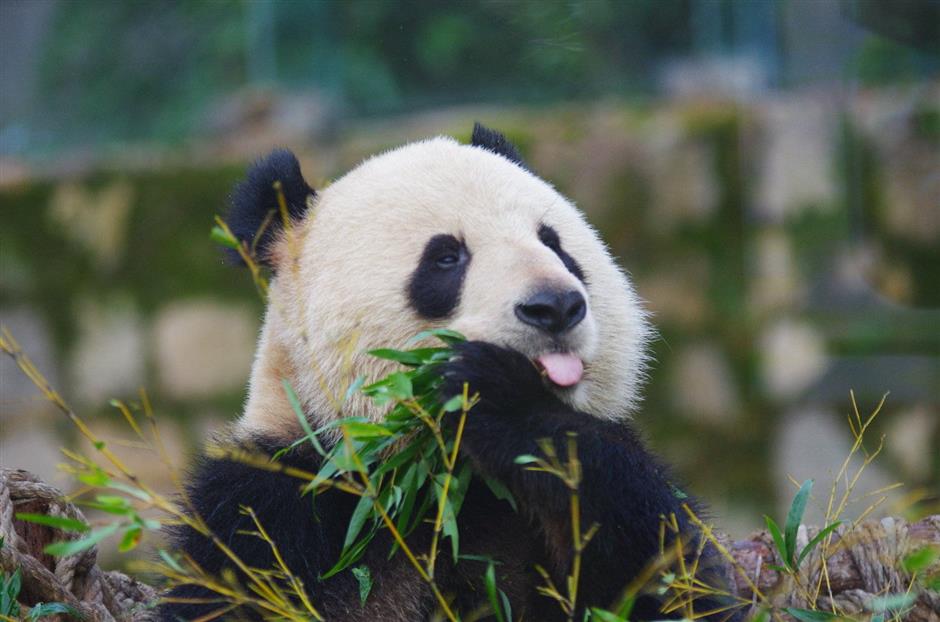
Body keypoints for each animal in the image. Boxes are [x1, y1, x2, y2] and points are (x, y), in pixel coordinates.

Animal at [158, 127, 740, 622]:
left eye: (554, 243)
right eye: (445, 258)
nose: (555, 307)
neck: (445, 480)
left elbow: (665, 575)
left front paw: (504, 401)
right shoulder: (279, 509)